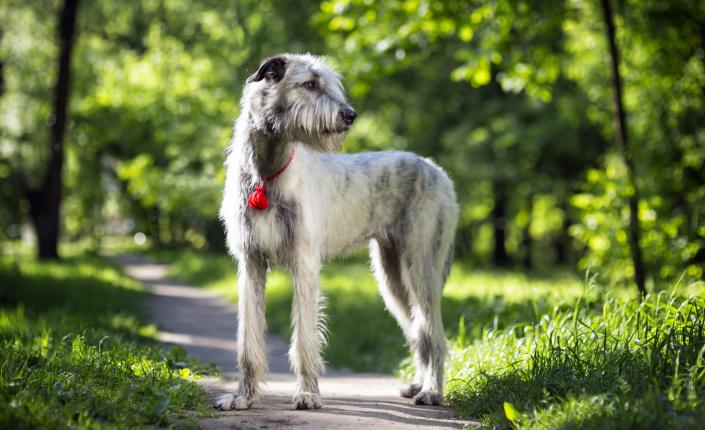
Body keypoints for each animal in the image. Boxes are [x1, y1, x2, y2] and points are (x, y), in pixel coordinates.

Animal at [216, 53, 456, 410]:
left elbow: (305, 337)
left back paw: (432, 391)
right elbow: (248, 337)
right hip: (392, 277)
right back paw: (418, 384)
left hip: (421, 266)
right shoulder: (251, 263)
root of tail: (438, 170)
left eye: (330, 85)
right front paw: (242, 397)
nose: (350, 115)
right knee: (419, 333)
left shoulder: (305, 262)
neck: (267, 172)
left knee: (433, 334)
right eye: (310, 83)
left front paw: (307, 393)